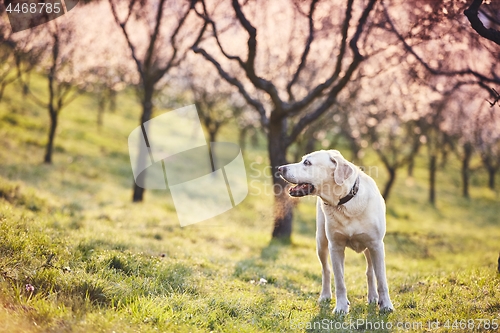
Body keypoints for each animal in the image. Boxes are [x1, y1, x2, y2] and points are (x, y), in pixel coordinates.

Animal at [280, 149, 392, 312]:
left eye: (307, 162)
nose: (280, 168)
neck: (345, 202)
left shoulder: (376, 245)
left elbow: (382, 280)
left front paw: (386, 306)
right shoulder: (336, 246)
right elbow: (339, 281)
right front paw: (341, 307)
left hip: (369, 248)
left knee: (370, 271)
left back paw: (373, 297)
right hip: (321, 242)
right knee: (326, 270)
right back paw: (326, 295)